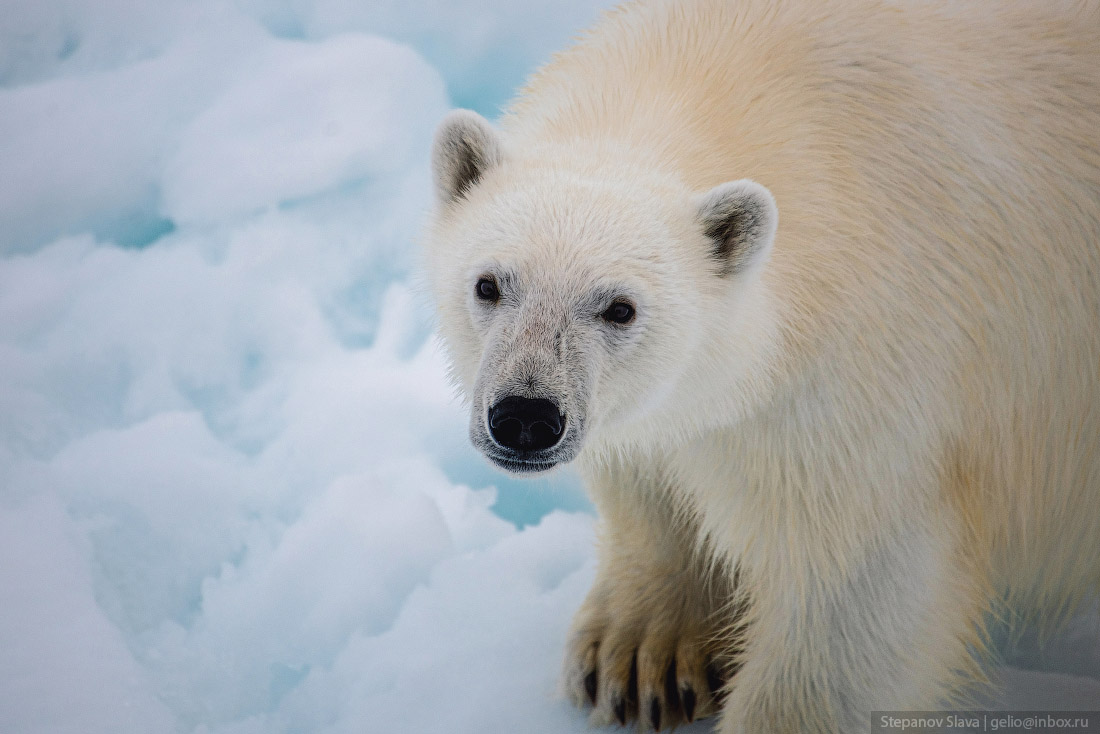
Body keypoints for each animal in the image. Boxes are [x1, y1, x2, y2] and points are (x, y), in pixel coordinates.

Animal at [418, 2, 1100, 730]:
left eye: (620, 308)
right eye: (489, 284)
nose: (525, 416)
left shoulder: (871, 379)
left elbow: (856, 592)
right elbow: (653, 470)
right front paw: (640, 654)